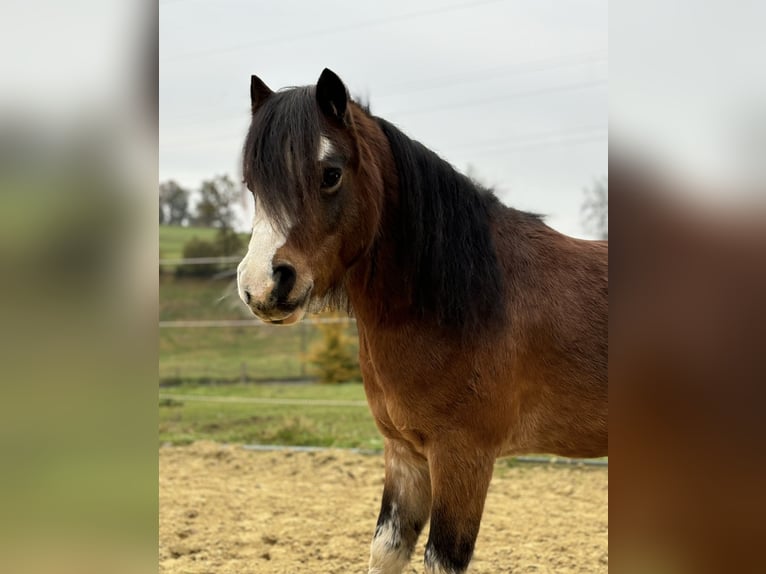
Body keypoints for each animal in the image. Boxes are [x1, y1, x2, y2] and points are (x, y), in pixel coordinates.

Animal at [237, 68, 608, 574]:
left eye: (331, 174)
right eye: (251, 184)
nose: (262, 285)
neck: (465, 299)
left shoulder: (462, 459)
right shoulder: (405, 456)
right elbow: (385, 551)